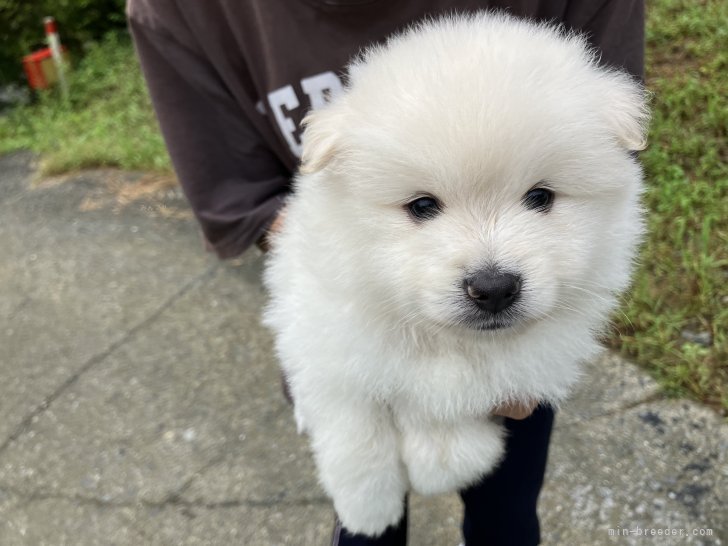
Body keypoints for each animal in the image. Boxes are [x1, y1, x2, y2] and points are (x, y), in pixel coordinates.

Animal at [262, 11, 648, 536]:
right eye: (422, 206)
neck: (448, 339)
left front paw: (441, 459)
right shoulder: (326, 338)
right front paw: (368, 508)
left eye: (540, 197)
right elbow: (355, 429)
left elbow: (442, 401)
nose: (494, 288)